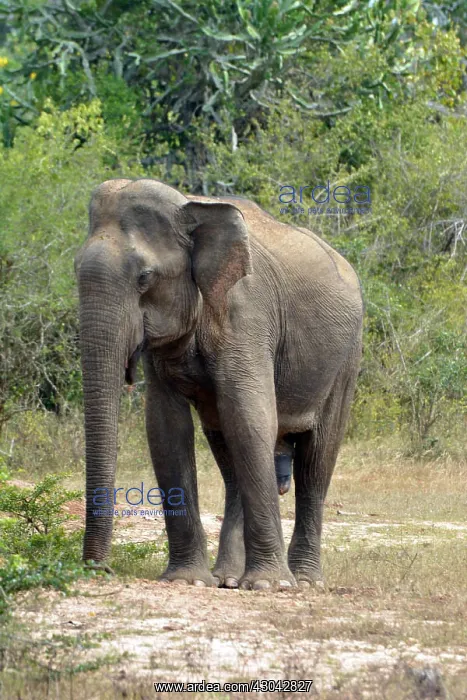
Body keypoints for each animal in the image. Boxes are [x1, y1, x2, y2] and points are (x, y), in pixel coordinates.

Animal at [75, 178, 363, 591]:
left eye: (144, 278)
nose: (99, 570)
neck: (192, 209)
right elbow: (166, 428)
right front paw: (187, 581)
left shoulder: (246, 314)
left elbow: (249, 416)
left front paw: (269, 586)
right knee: (231, 457)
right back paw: (227, 578)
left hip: (346, 358)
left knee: (315, 462)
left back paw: (304, 581)